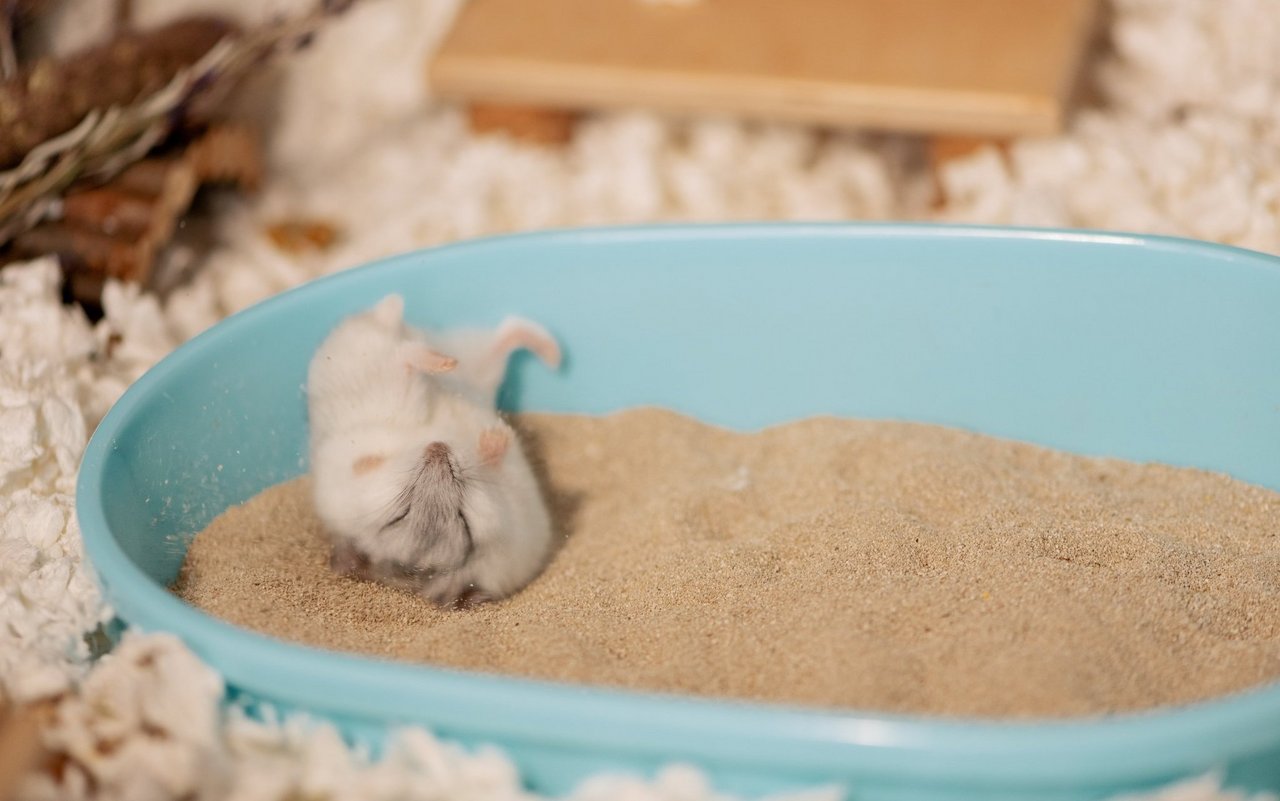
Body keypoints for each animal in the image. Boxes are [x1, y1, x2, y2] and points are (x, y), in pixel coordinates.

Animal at [306, 293, 561, 607]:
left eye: (464, 519)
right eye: (400, 515)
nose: (439, 447)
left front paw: (490, 436)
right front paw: (495, 436)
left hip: (474, 363)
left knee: (502, 335)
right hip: (391, 380)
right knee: (403, 357)